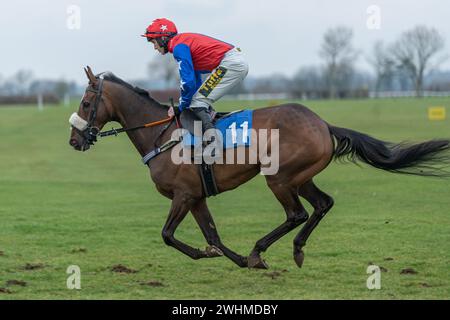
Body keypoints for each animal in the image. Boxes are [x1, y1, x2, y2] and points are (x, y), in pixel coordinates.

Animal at [68, 66, 448, 268]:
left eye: (86, 102)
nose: (74, 140)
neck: (162, 134)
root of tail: (323, 123)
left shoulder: (183, 194)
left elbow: (168, 235)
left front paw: (218, 256)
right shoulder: (197, 196)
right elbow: (213, 235)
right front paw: (230, 258)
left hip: (279, 176)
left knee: (297, 213)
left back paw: (259, 249)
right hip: (300, 176)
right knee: (322, 204)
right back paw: (295, 250)